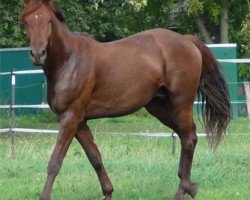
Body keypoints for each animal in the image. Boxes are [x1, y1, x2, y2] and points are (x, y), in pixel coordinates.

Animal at [20, 0, 231, 199]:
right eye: (26, 22)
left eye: (48, 21)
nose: (37, 54)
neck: (69, 60)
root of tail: (187, 40)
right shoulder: (80, 122)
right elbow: (95, 157)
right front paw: (108, 192)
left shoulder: (70, 117)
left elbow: (55, 161)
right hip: (160, 108)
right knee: (189, 136)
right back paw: (189, 187)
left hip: (181, 104)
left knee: (188, 140)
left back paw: (182, 191)